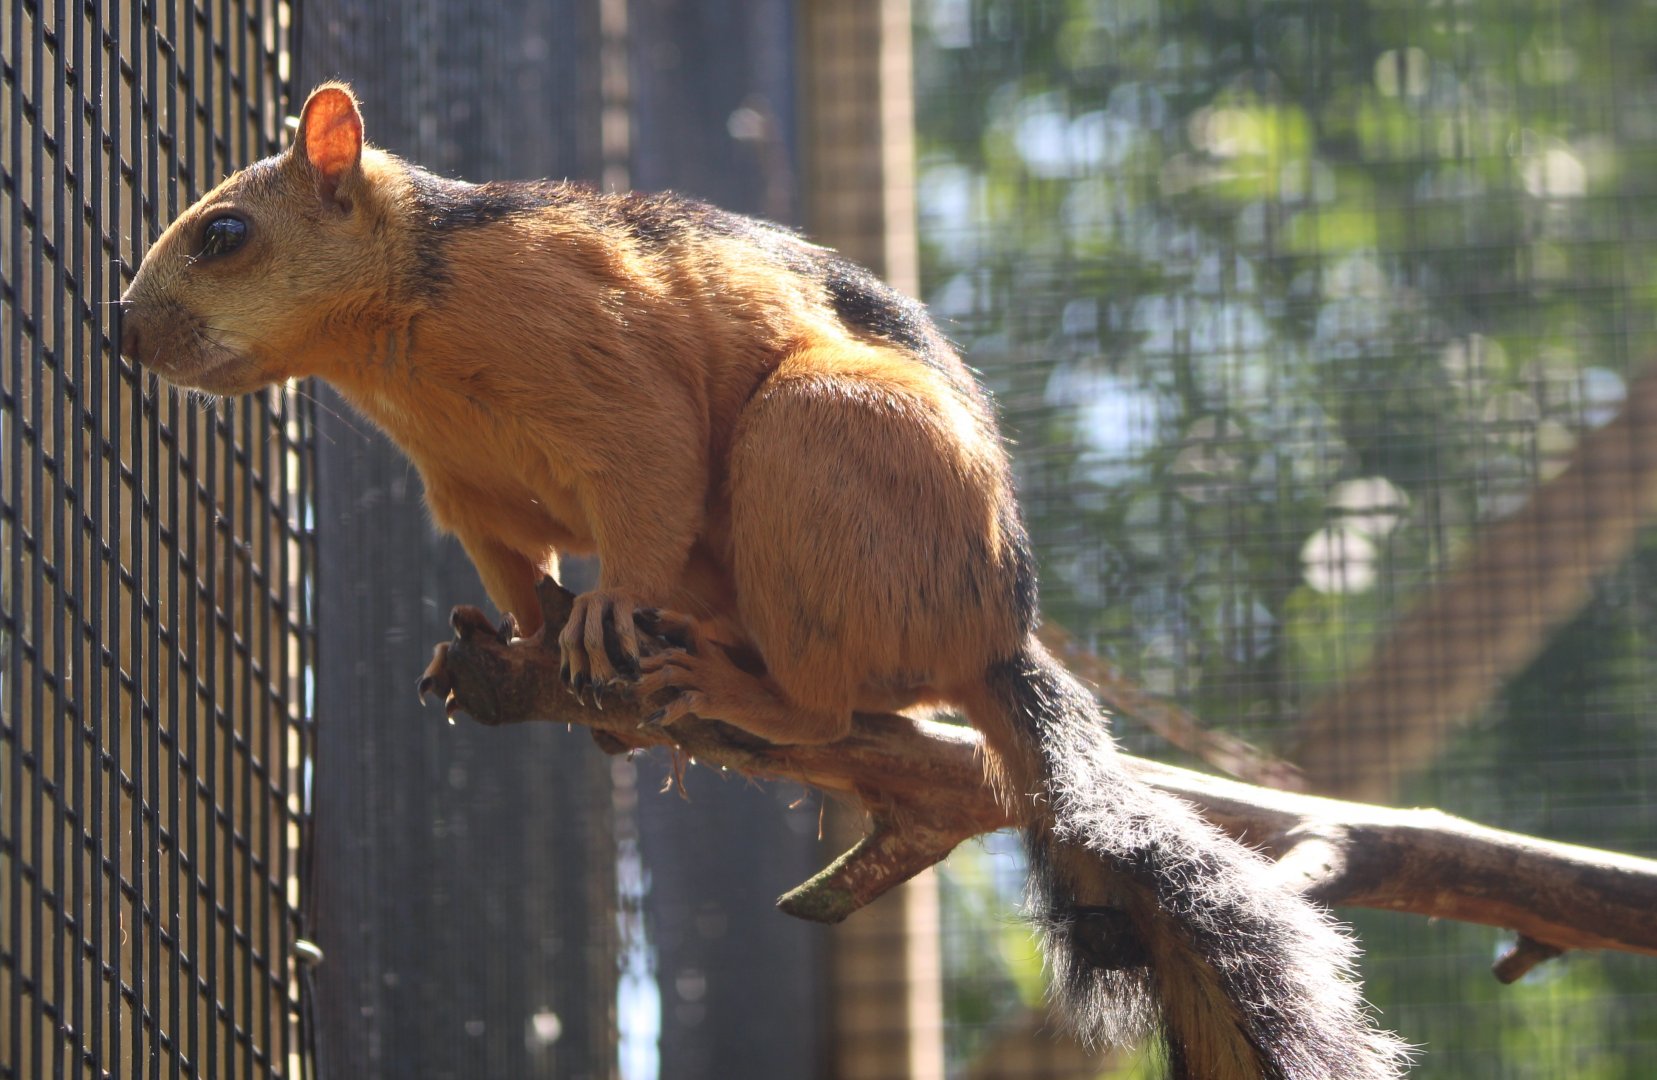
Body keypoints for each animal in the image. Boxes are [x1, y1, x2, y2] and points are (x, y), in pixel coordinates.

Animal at [120, 83, 1409, 1079]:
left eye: (225, 234)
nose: (124, 332)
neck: (406, 319)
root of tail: (995, 633)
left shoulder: (597, 356)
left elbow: (646, 477)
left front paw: (598, 613)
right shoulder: (462, 489)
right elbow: (514, 573)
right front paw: (525, 645)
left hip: (814, 436)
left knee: (834, 707)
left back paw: (742, 694)